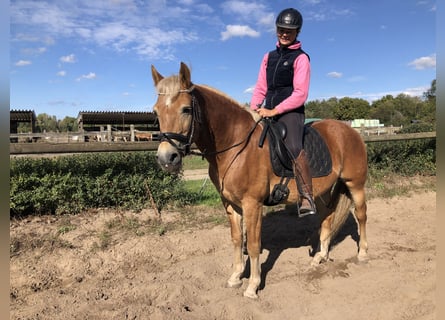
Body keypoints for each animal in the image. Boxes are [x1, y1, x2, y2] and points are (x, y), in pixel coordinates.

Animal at [151, 62, 366, 300]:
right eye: (156, 112)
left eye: (186, 109)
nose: (166, 158)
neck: (236, 146)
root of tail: (350, 130)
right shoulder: (230, 204)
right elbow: (237, 240)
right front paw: (235, 277)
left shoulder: (252, 204)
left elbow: (254, 245)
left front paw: (252, 286)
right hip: (320, 191)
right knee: (327, 217)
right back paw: (320, 257)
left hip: (356, 184)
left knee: (361, 215)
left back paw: (363, 254)